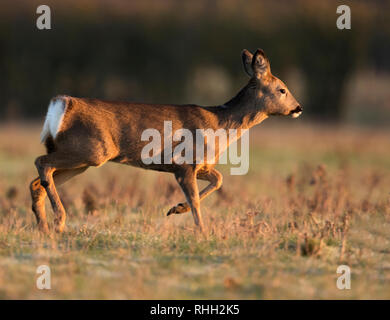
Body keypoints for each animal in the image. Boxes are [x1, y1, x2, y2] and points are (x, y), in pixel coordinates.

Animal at [30, 48, 304, 232]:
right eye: (282, 89)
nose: (298, 108)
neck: (219, 124)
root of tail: (63, 104)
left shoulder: (200, 165)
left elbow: (218, 179)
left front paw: (176, 208)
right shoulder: (184, 163)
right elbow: (196, 200)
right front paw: (202, 232)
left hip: (81, 159)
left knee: (37, 181)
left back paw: (44, 227)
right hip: (91, 150)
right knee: (41, 162)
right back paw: (59, 220)